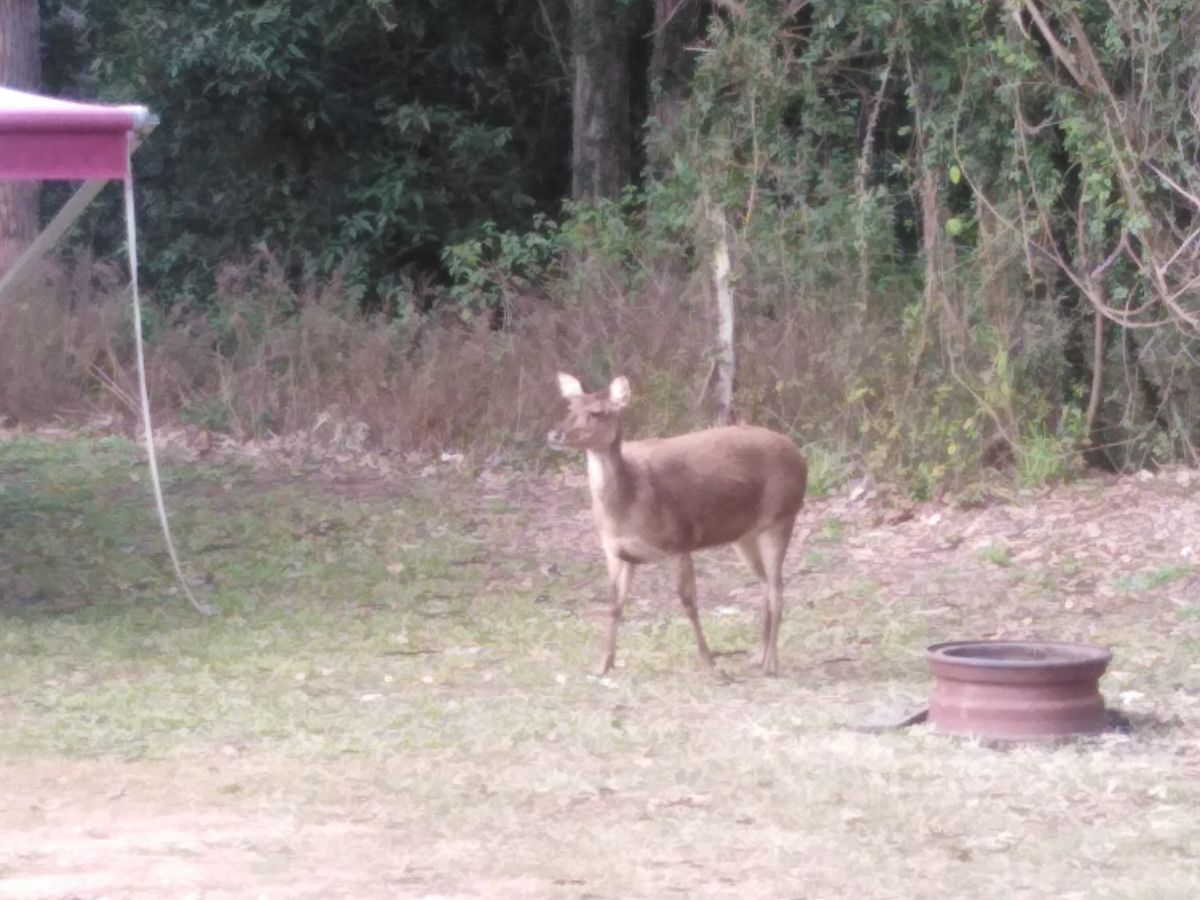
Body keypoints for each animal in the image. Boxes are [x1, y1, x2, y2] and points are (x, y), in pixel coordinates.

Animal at [548, 373, 808, 676]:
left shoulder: (678, 541)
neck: (627, 505)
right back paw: (757, 654)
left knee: (777, 588)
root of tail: (800, 456)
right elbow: (614, 605)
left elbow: (688, 604)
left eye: (597, 412)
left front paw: (709, 663)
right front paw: (602, 665)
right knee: (766, 585)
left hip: (780, 517)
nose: (555, 434)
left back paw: (770, 663)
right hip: (744, 535)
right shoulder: (617, 552)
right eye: (569, 408)